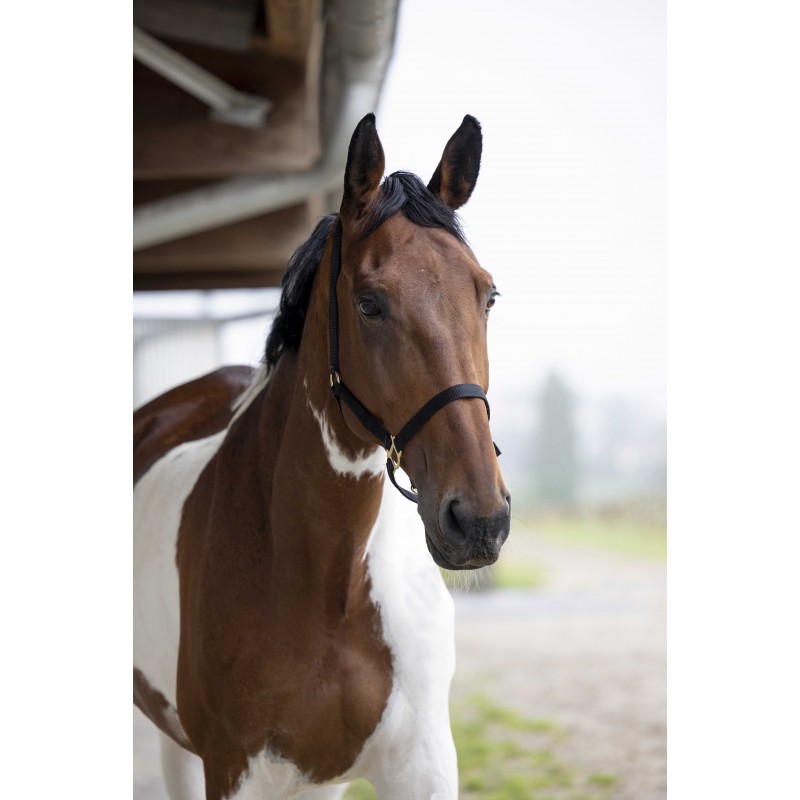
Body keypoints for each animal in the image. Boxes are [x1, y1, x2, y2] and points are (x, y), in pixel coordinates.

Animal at [134, 113, 511, 800]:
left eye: (487, 296)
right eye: (369, 302)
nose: (478, 521)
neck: (326, 586)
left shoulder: (420, 764)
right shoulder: (231, 768)